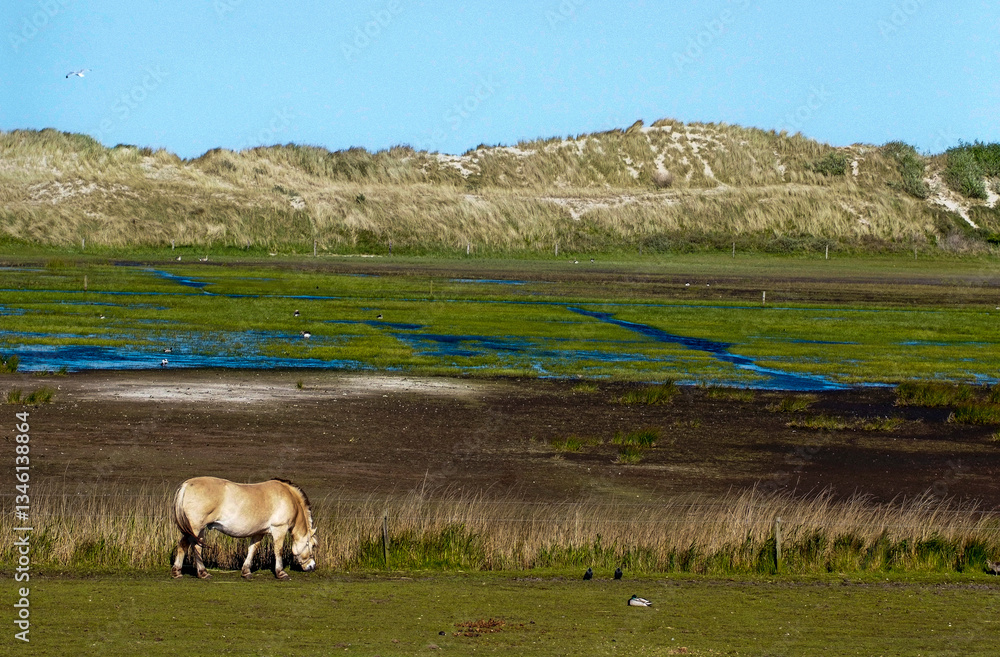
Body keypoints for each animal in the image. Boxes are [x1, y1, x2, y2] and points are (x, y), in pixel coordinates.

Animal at [171, 476, 317, 580]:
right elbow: (278, 551)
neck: (288, 497)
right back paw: (195, 573)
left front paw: (246, 572)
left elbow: (252, 549)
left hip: (198, 530)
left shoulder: (259, 532)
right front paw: (281, 573)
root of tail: (186, 485)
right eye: (312, 545)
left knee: (192, 547)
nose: (312, 566)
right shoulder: (279, 529)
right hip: (195, 529)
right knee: (187, 546)